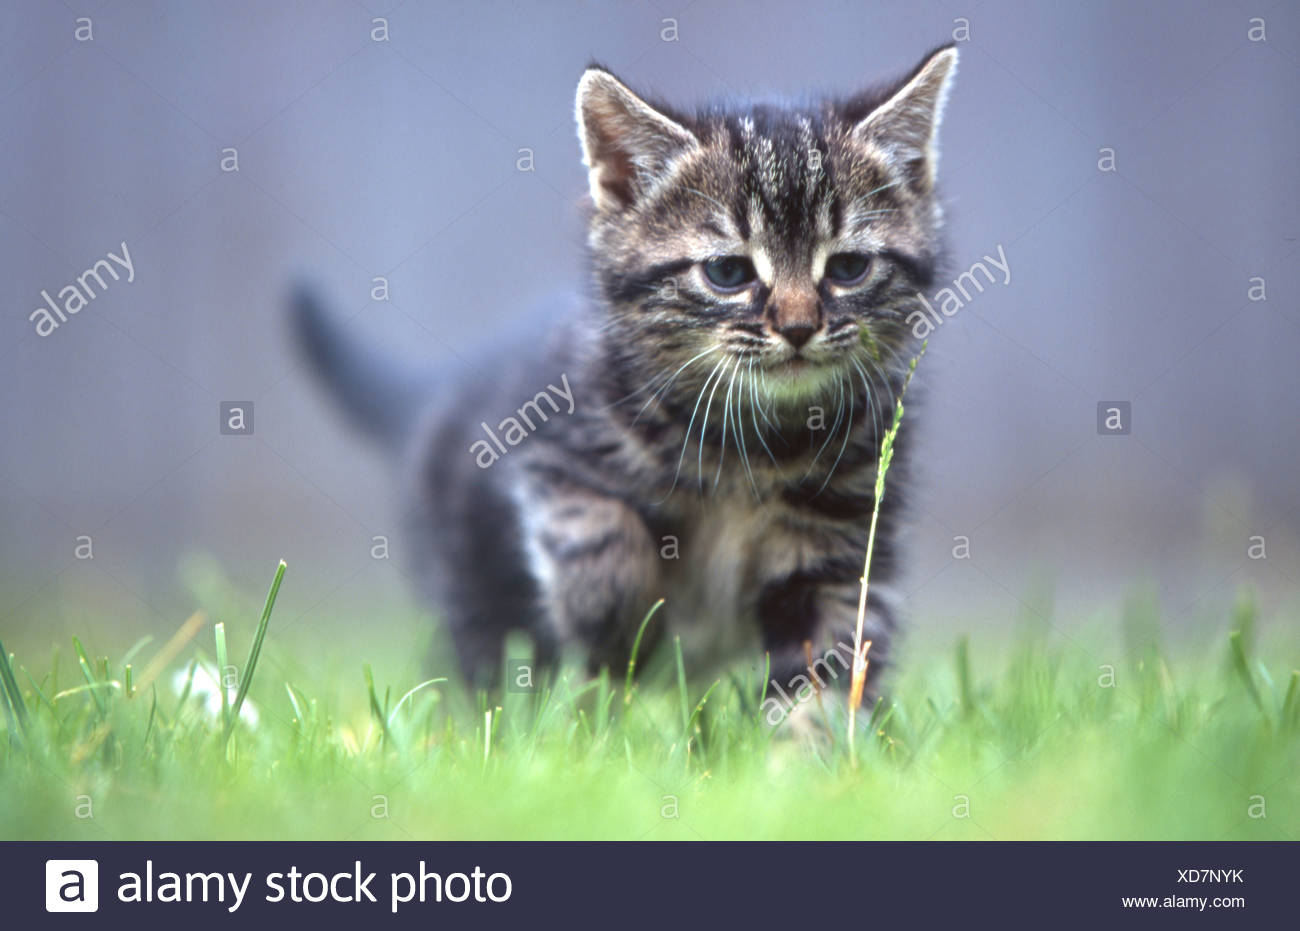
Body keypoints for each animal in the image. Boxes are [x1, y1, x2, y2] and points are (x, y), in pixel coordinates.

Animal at [295, 47, 956, 722]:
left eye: (848, 267)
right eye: (728, 272)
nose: (798, 327)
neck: (750, 448)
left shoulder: (842, 550)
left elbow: (825, 672)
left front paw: (809, 749)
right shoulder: (552, 457)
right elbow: (604, 539)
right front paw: (619, 628)